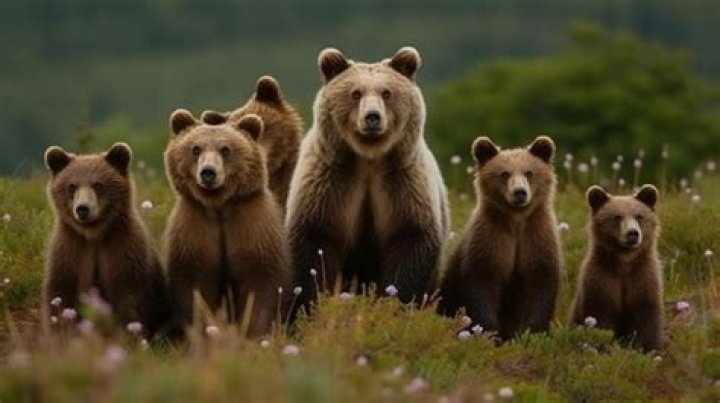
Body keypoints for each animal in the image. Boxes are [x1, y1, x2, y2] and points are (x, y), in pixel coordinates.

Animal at [42, 143, 170, 338]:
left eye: (97, 184)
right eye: (72, 186)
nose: (83, 208)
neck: (93, 235)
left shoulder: (122, 250)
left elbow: (129, 299)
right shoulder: (70, 251)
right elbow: (61, 295)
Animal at [164, 109, 291, 337]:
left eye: (225, 149)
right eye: (195, 149)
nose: (208, 172)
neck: (219, 206)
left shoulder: (250, 227)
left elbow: (258, 280)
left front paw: (254, 331)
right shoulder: (195, 230)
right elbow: (196, 285)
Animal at [285, 46, 450, 316]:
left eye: (387, 93)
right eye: (355, 93)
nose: (372, 117)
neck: (368, 157)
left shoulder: (403, 181)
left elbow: (411, 237)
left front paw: (395, 302)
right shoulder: (329, 181)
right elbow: (315, 239)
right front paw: (308, 304)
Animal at [437, 136, 562, 341]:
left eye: (529, 172)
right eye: (504, 174)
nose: (520, 192)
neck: (517, 220)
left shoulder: (537, 240)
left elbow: (539, 286)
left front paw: (532, 332)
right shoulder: (490, 240)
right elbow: (483, 285)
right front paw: (490, 332)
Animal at [571, 185, 662, 352]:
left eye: (639, 216)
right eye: (617, 217)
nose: (632, 233)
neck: (624, 262)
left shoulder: (643, 279)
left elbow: (646, 320)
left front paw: (648, 349)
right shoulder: (601, 281)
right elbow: (600, 317)